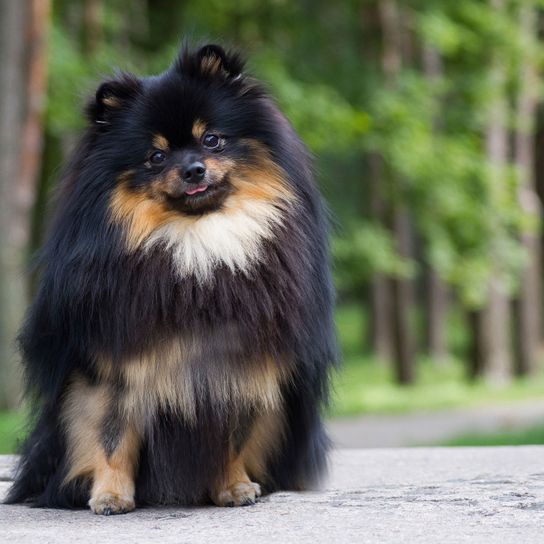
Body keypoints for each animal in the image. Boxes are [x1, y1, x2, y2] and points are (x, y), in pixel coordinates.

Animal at [5, 43, 336, 516]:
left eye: (211, 138)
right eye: (156, 156)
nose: (193, 169)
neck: (196, 245)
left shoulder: (239, 368)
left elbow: (232, 438)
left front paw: (234, 487)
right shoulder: (111, 370)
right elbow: (111, 437)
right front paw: (110, 496)